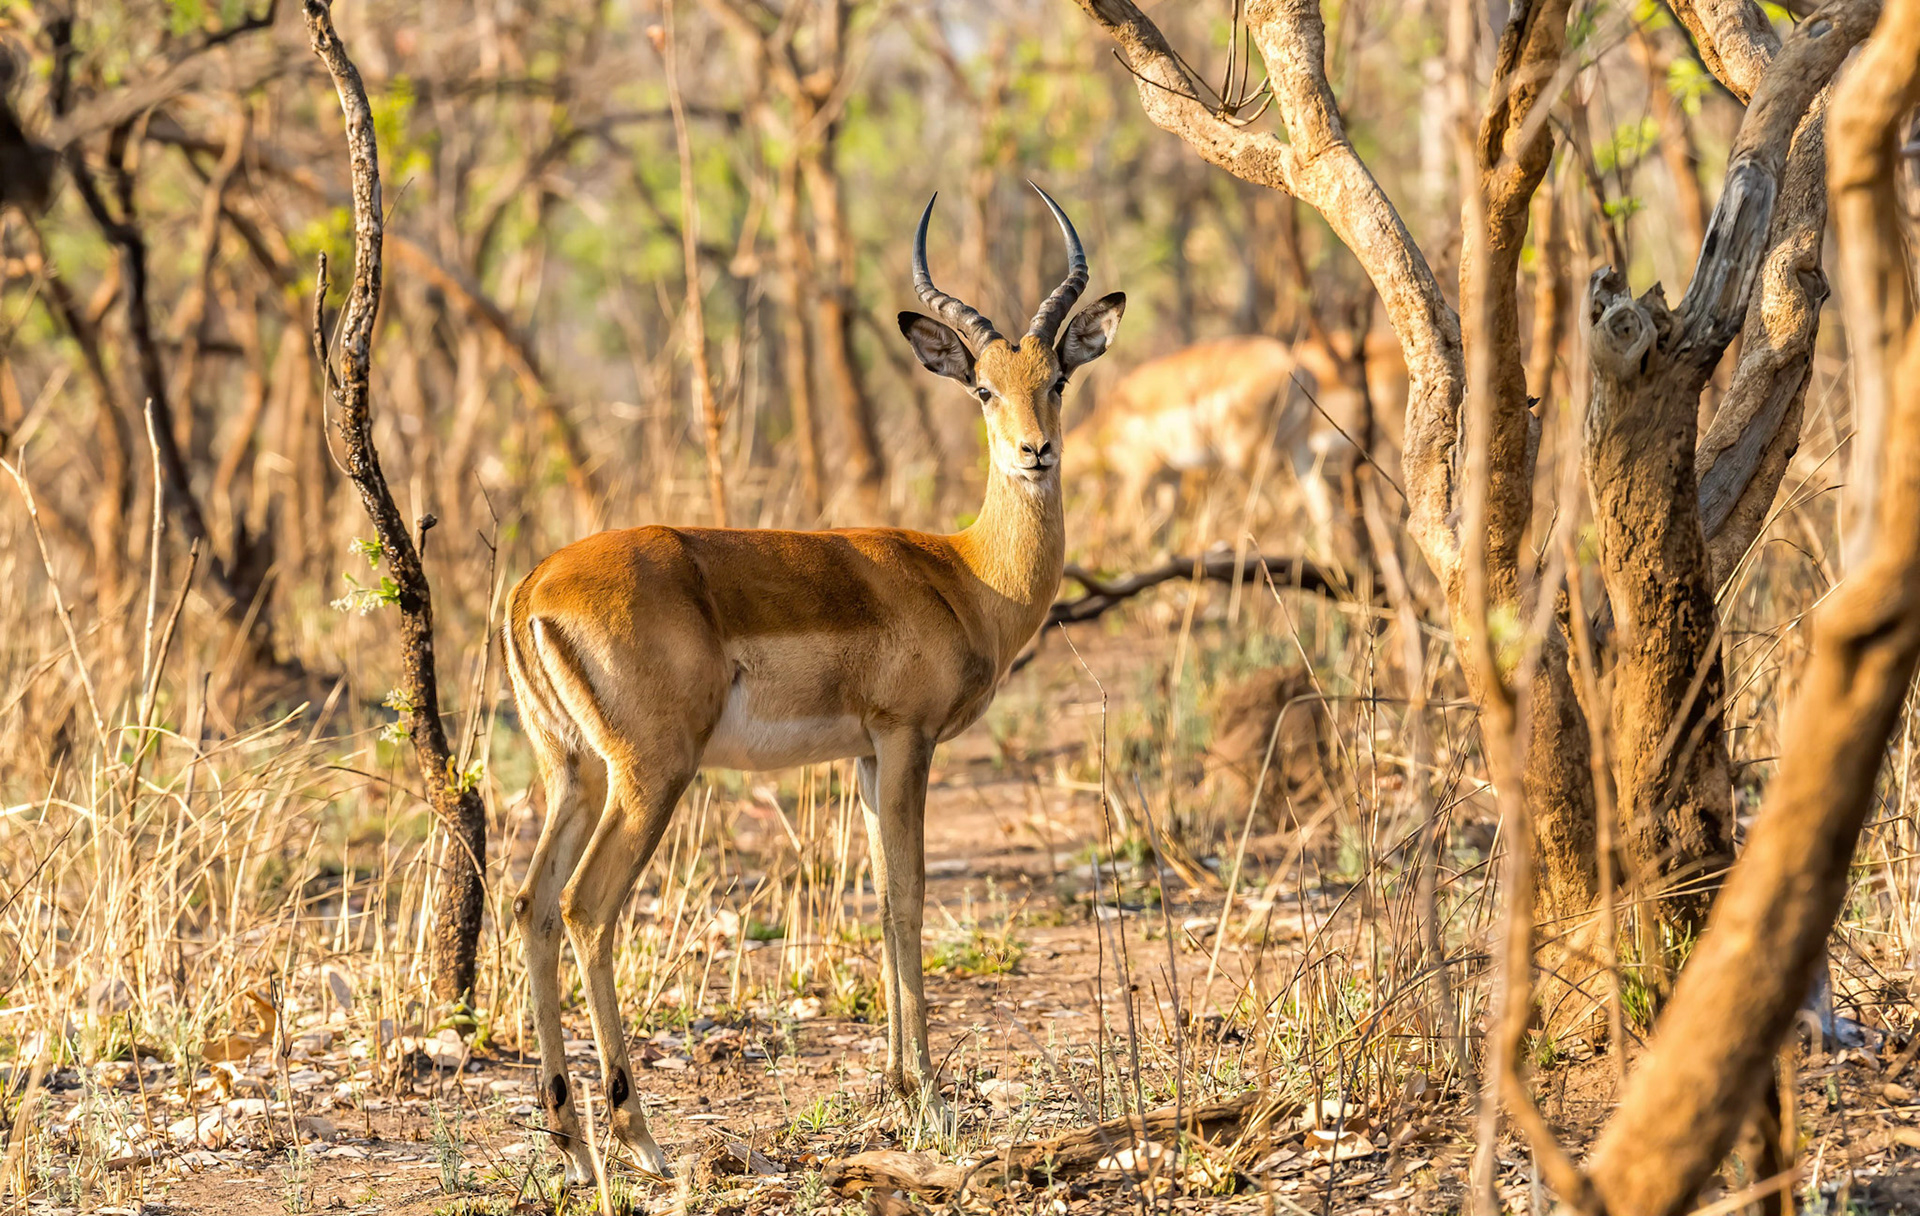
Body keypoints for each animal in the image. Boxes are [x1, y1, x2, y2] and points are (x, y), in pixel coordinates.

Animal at [501, 186, 1124, 1182]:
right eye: (984, 388)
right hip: (653, 774)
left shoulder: (866, 757)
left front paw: (901, 1087)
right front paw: (929, 1101)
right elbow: (909, 895)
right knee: (588, 908)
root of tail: (532, 587)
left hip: (575, 771)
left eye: (1056, 380)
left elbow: (881, 895)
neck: (966, 574)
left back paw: (573, 1147)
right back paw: (641, 1141)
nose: (1036, 453)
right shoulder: (907, 739)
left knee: (531, 905)